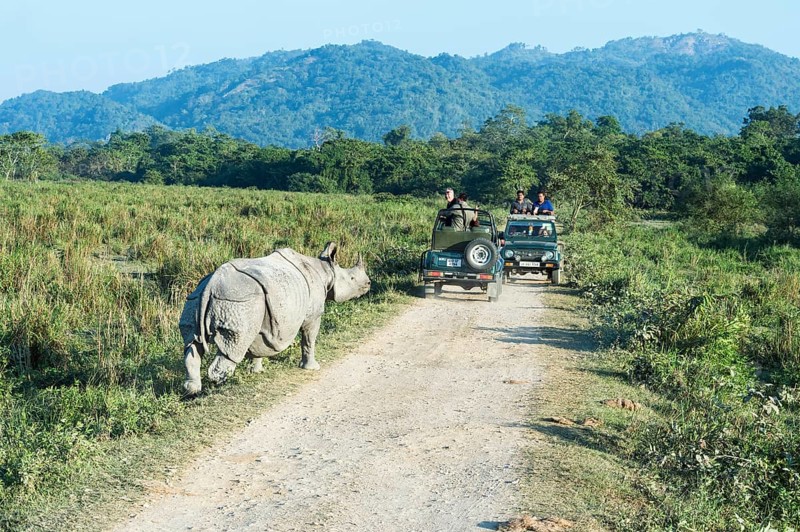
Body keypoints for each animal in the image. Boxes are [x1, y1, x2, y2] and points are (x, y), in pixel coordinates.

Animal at [179, 242, 371, 395]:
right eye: (352, 278)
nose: (368, 284)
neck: (326, 271)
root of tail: (212, 284)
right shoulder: (313, 315)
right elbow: (309, 339)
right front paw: (312, 368)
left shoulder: (262, 319)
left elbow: (257, 346)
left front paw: (256, 371)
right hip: (239, 302)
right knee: (234, 348)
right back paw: (220, 388)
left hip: (197, 299)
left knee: (192, 345)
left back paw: (192, 391)